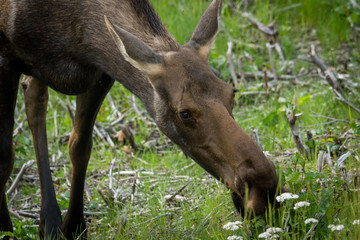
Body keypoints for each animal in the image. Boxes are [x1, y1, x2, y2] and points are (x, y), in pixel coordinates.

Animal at [0, 0, 286, 239]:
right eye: (184, 113)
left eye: (231, 93)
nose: (264, 187)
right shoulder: (6, 59)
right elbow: (6, 155)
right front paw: (5, 228)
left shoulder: (100, 72)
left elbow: (79, 147)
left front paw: (74, 226)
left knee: (33, 94)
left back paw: (49, 222)